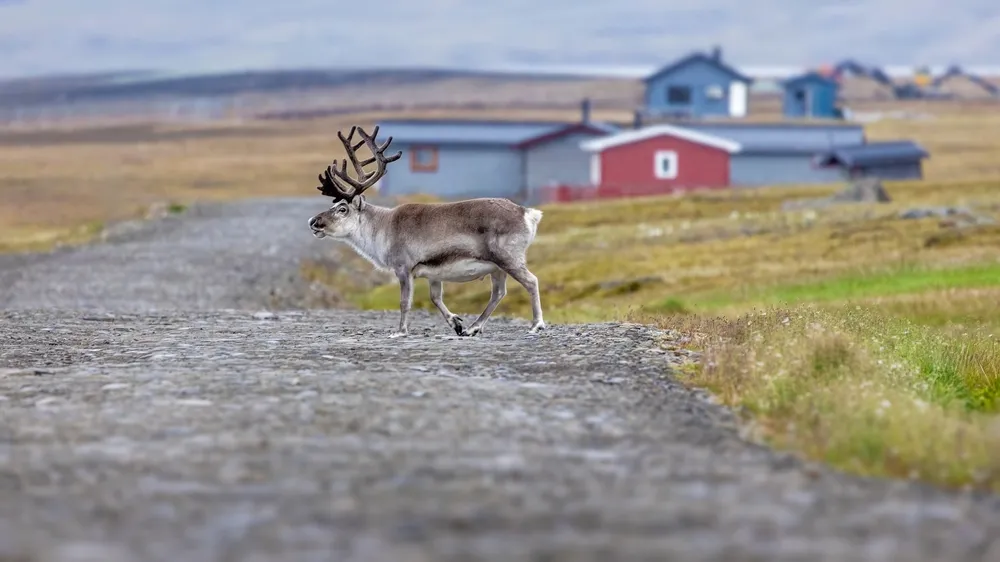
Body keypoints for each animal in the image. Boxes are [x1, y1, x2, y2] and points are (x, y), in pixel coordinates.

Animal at [307, 124, 546, 339]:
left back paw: (536, 325)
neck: (382, 227)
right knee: (498, 293)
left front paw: (400, 331)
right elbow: (435, 298)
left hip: (507, 258)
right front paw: (456, 323)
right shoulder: (434, 273)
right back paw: (473, 328)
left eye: (342, 209)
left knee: (531, 281)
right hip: (496, 267)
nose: (313, 221)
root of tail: (527, 213)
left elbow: (405, 301)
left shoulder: (403, 267)